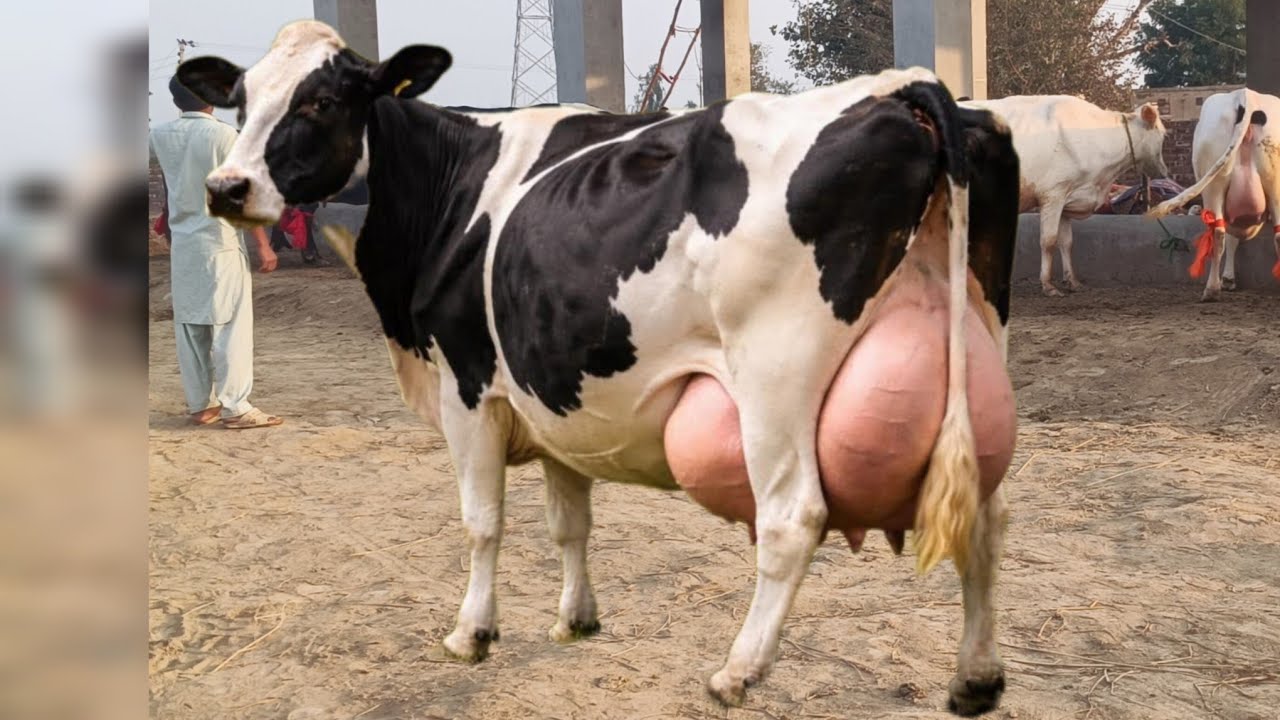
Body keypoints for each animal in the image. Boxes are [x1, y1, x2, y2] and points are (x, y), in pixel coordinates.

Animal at [177, 20, 1021, 715]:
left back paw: (737, 672)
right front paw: (574, 619)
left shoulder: (466, 385)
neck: (450, 184)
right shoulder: (554, 394)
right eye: (241, 100)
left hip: (775, 375)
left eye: (321, 102)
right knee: (983, 517)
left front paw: (472, 633)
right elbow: (569, 520)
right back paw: (975, 677)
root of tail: (906, 87)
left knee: (792, 519)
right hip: (973, 349)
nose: (224, 188)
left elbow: (482, 522)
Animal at [962, 95, 1169, 296]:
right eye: (1163, 134)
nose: (1165, 172)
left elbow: (1067, 242)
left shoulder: (1067, 201)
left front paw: (1073, 282)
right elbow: (1048, 241)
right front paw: (1048, 285)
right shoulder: (1053, 195)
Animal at [1150, 88, 1280, 301]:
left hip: (1214, 187)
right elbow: (1234, 239)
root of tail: (1245, 95)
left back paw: (1211, 289)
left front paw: (1226, 280)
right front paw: (1229, 279)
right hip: (1273, 185)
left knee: (1218, 233)